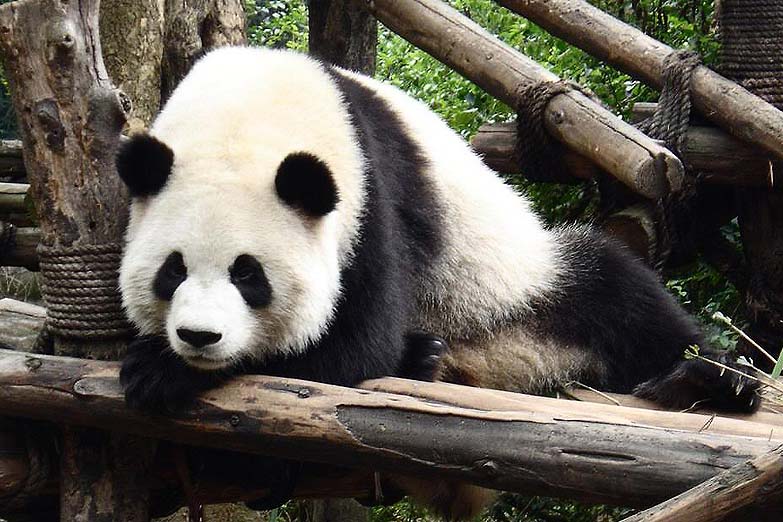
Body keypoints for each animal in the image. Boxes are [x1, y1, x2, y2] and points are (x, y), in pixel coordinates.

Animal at [116, 47, 758, 518]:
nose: (199, 338)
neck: (251, 108)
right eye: (173, 270)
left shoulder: (371, 194)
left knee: (615, 296)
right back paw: (422, 359)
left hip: (515, 296)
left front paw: (162, 372)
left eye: (248, 274)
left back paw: (706, 380)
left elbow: (351, 350)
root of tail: (498, 375)